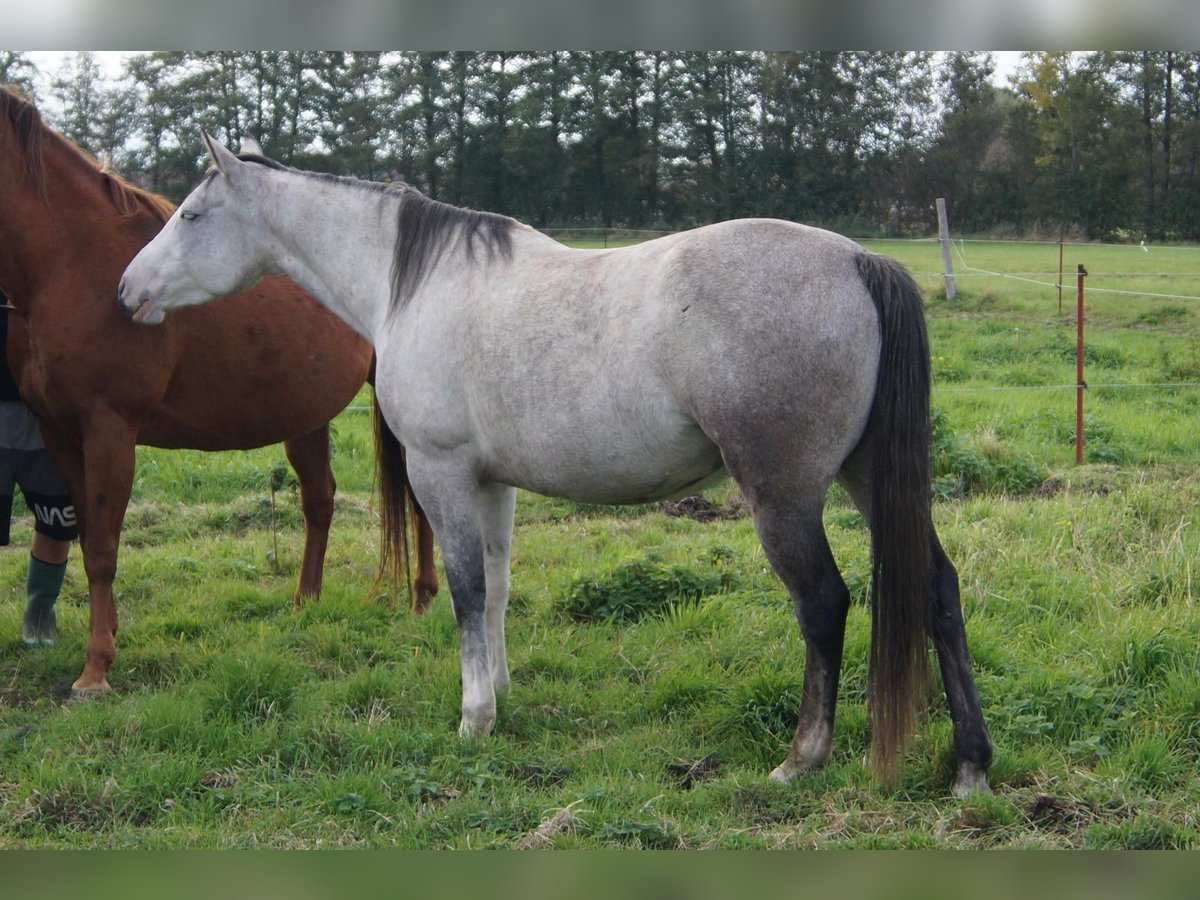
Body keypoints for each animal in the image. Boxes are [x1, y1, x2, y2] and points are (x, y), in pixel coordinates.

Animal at [0, 88, 438, 698]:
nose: (128, 293)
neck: (69, 264)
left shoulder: (110, 428)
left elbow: (105, 551)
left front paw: (95, 670)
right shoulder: (59, 432)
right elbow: (89, 539)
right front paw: (107, 635)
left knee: (417, 501)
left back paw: (422, 599)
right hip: (305, 414)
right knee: (320, 499)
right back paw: (305, 602)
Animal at [119, 132, 993, 795]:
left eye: (191, 213)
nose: (127, 291)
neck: (413, 285)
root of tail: (856, 262)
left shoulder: (440, 473)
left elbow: (466, 591)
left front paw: (473, 718)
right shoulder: (490, 482)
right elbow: (499, 588)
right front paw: (501, 693)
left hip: (784, 496)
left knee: (824, 603)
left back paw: (800, 759)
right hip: (868, 478)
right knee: (938, 589)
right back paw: (970, 766)